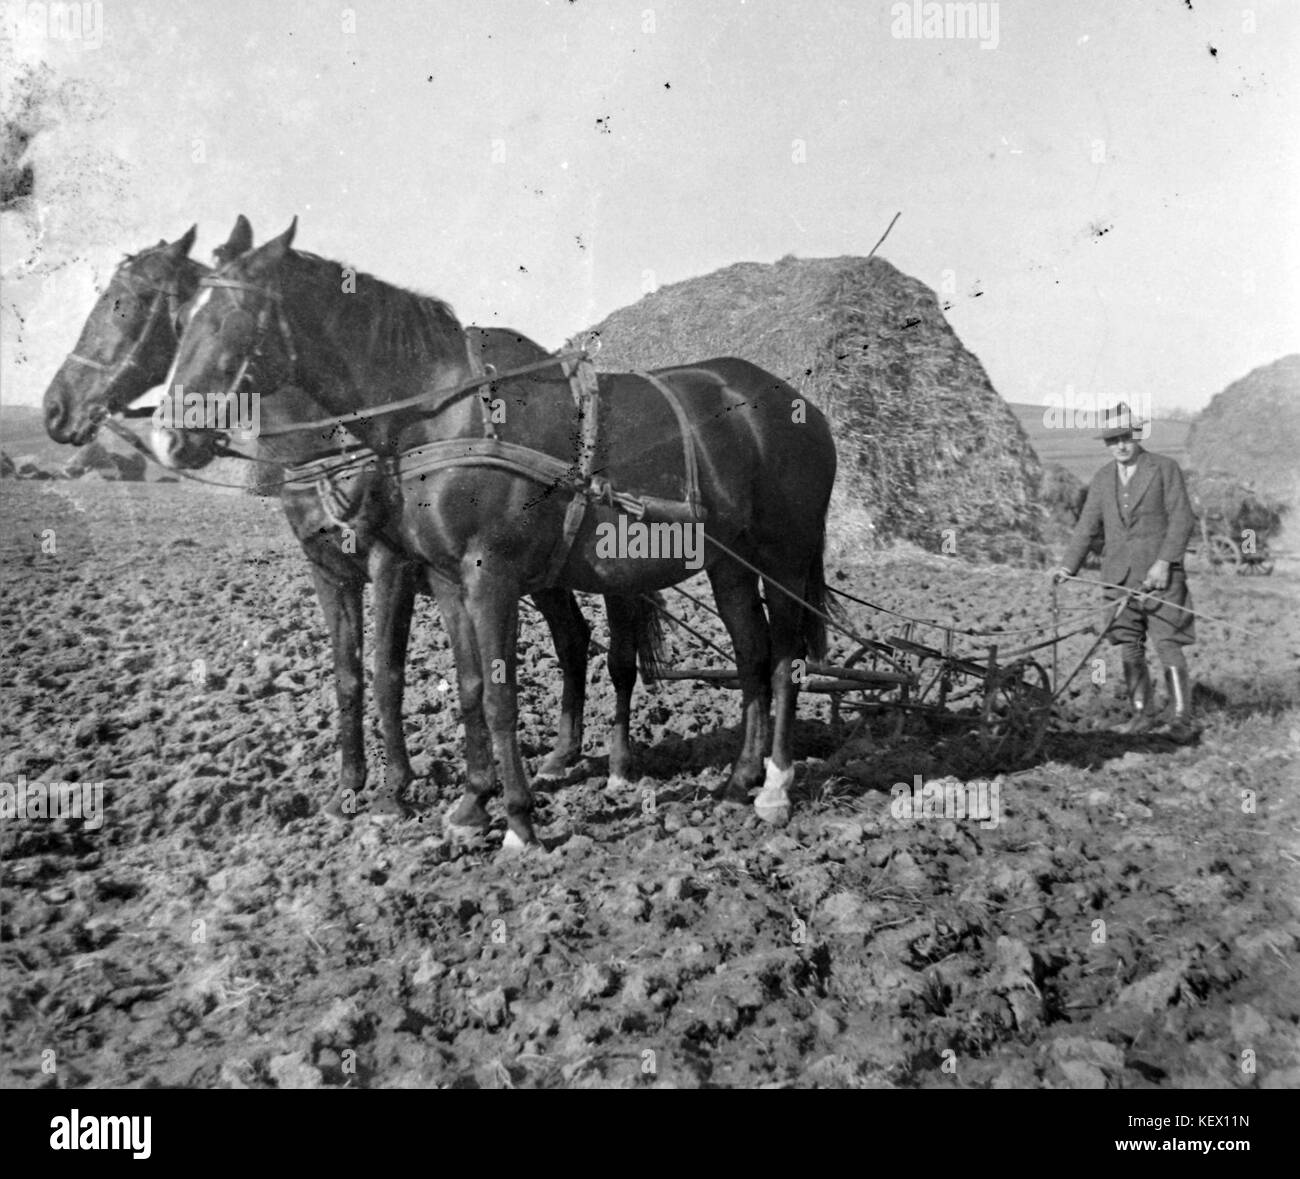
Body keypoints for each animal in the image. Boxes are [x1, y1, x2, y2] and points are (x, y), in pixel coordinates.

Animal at [42, 218, 653, 818]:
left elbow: (387, 675)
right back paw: (562, 754)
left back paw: (614, 764)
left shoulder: (391, 566)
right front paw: (349, 786)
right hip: (544, 572)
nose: (55, 409)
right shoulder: (329, 569)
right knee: (573, 638)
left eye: (127, 303)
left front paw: (395, 789)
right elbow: (347, 675)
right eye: (182, 320)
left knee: (608, 649)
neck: (335, 446)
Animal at [155, 219, 837, 847]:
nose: (171, 437)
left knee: (783, 658)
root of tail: (799, 403)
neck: (440, 415)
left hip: (784, 555)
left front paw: (517, 820)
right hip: (729, 563)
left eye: (232, 319)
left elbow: (495, 694)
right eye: (182, 318)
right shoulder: (446, 580)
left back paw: (775, 786)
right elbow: (468, 687)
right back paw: (738, 780)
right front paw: (472, 803)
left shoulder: (486, 575)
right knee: (750, 654)